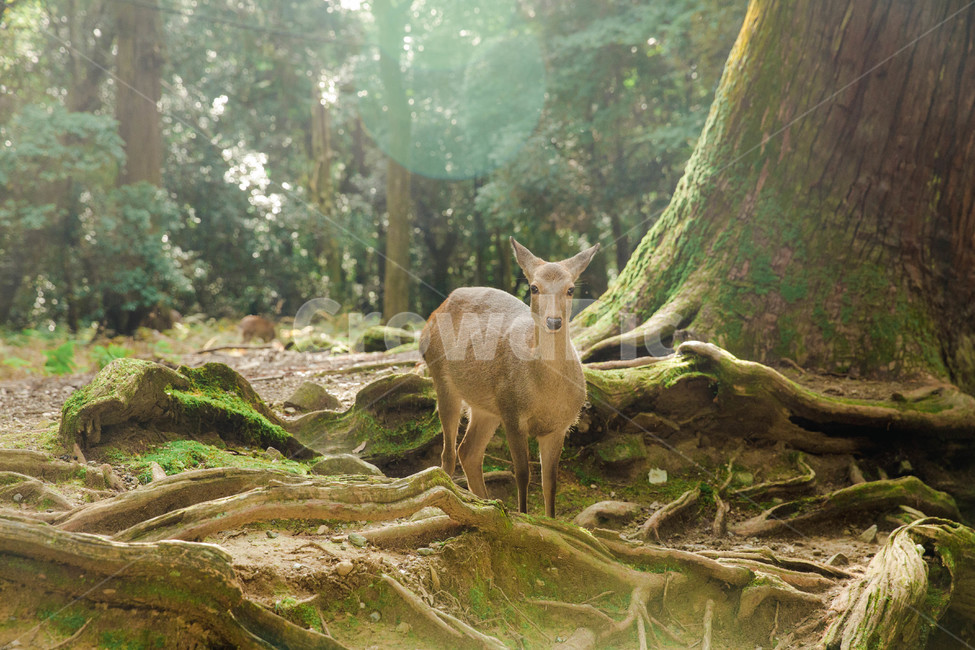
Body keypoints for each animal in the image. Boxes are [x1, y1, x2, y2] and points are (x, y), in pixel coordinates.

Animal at [420, 237, 599, 518]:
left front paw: (551, 521)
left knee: (468, 451)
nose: (554, 321)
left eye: (570, 289)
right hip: (444, 381)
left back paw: (485, 503)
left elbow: (550, 482)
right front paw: (524, 516)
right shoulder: (513, 413)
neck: (546, 396)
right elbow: (523, 474)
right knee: (448, 454)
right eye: (534, 287)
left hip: (488, 408)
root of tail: (432, 316)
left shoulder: (559, 426)